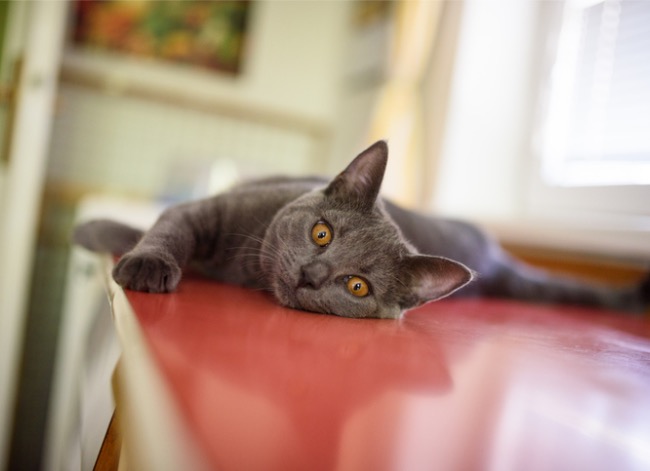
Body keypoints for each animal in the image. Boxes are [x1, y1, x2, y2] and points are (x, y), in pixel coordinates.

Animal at [73, 139, 644, 318]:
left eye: (356, 286)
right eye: (322, 234)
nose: (310, 274)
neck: (243, 269)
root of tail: (495, 256)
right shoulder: (206, 212)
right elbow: (168, 226)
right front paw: (113, 241)